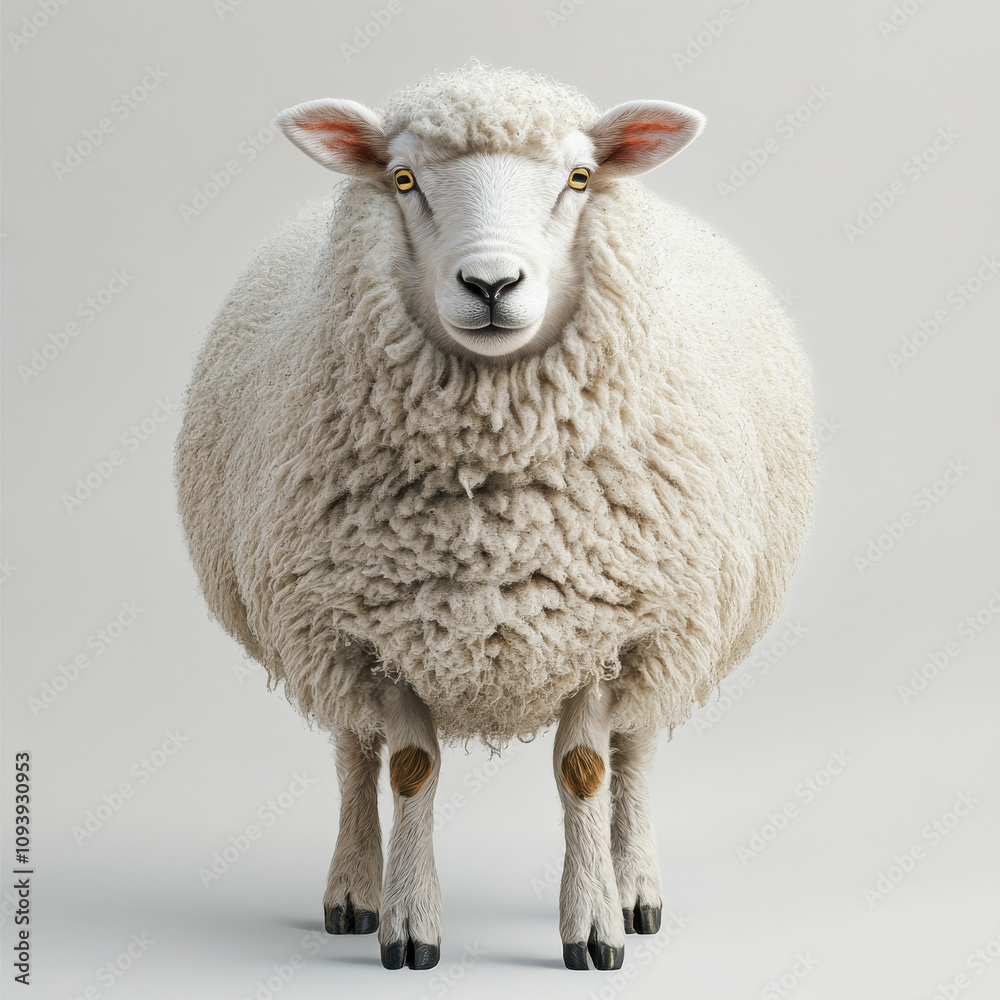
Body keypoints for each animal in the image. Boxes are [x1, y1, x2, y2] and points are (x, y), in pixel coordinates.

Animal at [174, 61, 815, 972]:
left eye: (578, 177)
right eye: (403, 179)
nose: (490, 284)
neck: (494, 497)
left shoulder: (614, 625)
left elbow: (586, 768)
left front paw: (594, 925)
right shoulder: (373, 629)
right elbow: (408, 767)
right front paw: (409, 923)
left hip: (674, 631)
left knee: (638, 750)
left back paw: (636, 884)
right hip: (319, 629)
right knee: (351, 751)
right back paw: (353, 888)